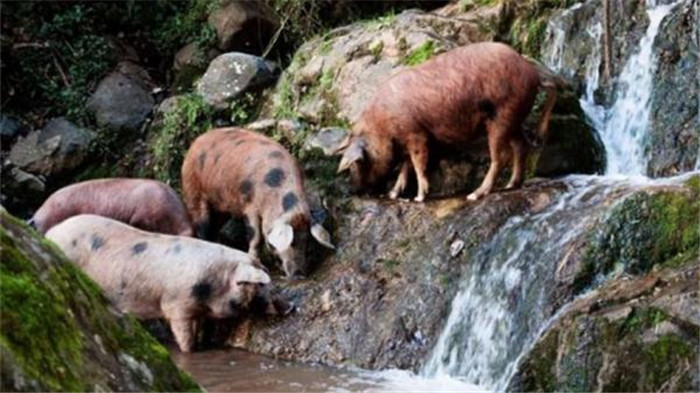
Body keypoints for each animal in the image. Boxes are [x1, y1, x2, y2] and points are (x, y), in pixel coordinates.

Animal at [45, 214, 270, 352]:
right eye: (252, 285)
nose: (275, 305)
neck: (213, 283)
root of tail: (51, 233)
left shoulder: (195, 308)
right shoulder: (177, 304)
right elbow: (184, 336)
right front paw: (190, 350)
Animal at [180, 127, 334, 278]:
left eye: (307, 245)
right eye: (292, 243)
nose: (299, 275)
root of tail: (196, 142)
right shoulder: (249, 206)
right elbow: (256, 236)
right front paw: (261, 266)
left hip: (220, 208)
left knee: (215, 227)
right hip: (193, 191)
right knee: (201, 225)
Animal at [334, 42, 568, 202]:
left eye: (357, 163)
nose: (352, 190)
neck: (381, 127)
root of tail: (532, 72)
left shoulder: (416, 134)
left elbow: (418, 163)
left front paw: (419, 198)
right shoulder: (409, 138)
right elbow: (405, 166)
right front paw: (393, 194)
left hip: (501, 116)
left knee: (501, 157)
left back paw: (475, 195)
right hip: (513, 119)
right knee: (521, 146)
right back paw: (510, 186)